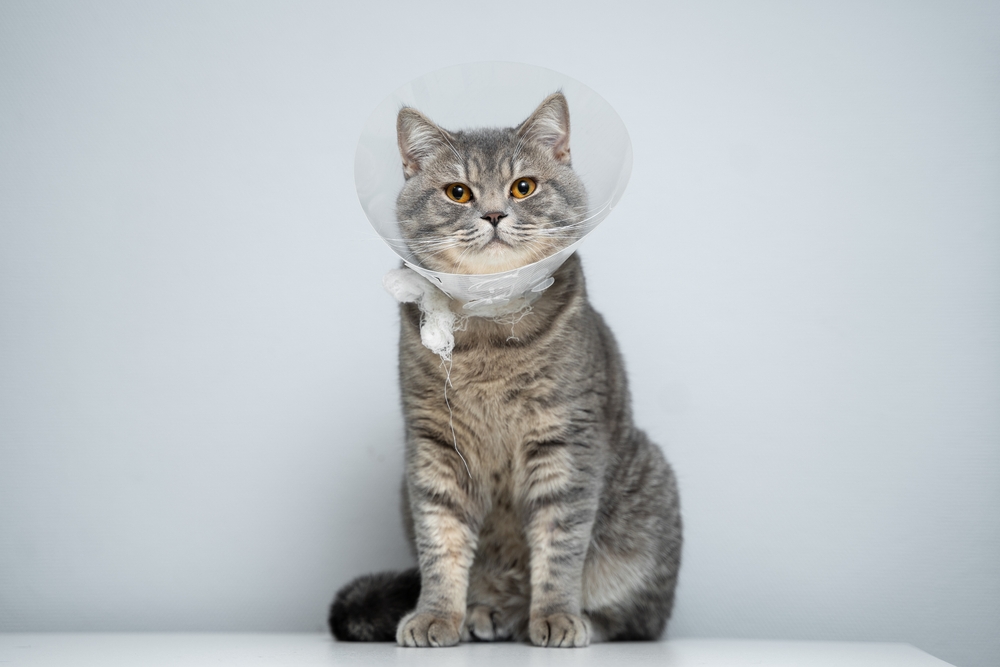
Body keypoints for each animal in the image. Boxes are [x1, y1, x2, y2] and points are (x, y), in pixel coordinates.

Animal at [328, 94, 680, 648]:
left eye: (523, 187)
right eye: (458, 192)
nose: (494, 214)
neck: (490, 330)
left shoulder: (566, 443)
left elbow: (560, 543)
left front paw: (556, 615)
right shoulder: (435, 447)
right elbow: (440, 541)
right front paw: (436, 614)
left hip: (648, 492)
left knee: (641, 620)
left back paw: (581, 620)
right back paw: (486, 611)